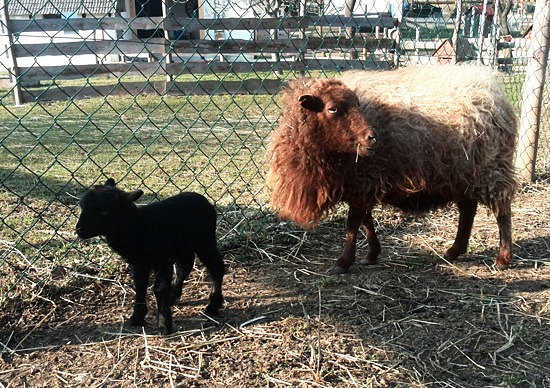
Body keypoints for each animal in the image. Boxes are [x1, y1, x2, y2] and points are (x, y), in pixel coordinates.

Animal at [75, 179, 224, 334]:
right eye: (82, 208)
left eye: (104, 211)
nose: (79, 229)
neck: (139, 226)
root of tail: (203, 199)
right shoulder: (139, 262)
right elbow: (140, 287)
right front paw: (136, 318)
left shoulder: (163, 259)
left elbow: (159, 288)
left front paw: (164, 325)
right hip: (183, 246)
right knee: (184, 267)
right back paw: (173, 297)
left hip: (204, 241)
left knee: (216, 268)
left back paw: (213, 305)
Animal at [270, 66, 520, 272]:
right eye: (332, 109)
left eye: (357, 106)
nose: (372, 138)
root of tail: (494, 93)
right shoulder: (362, 185)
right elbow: (366, 221)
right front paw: (371, 254)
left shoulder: (364, 180)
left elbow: (352, 224)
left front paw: (343, 262)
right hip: (463, 172)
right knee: (468, 209)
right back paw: (454, 251)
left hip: (491, 167)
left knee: (502, 209)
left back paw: (502, 258)